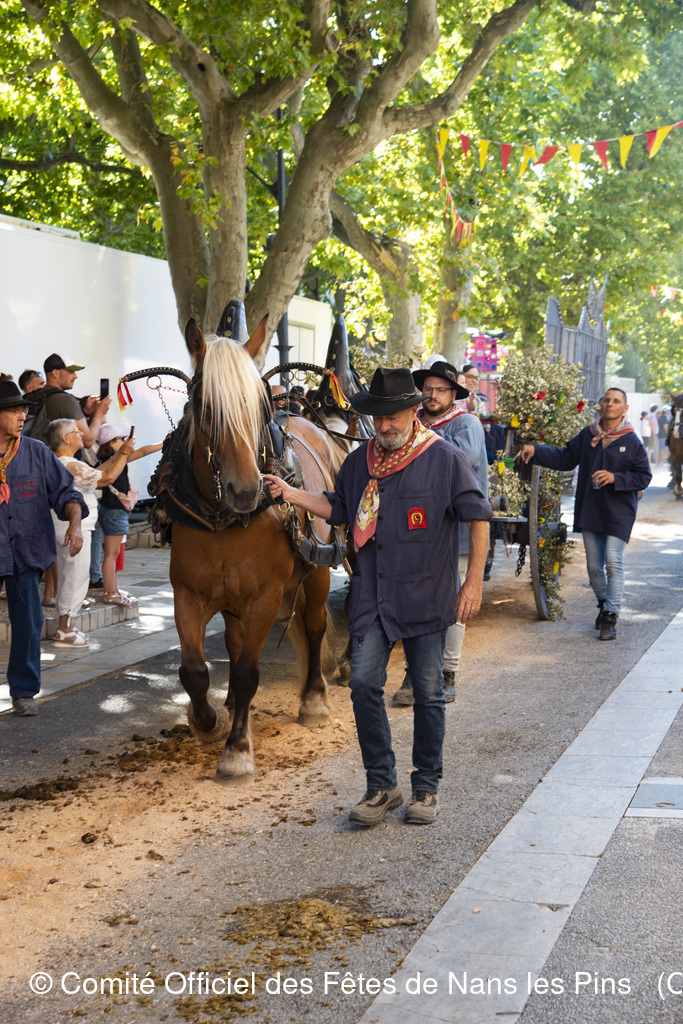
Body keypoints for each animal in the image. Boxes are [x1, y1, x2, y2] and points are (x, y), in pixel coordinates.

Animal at [167, 309, 339, 781]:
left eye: (259, 406)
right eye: (204, 406)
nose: (246, 490)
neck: (223, 519)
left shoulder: (266, 596)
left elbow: (247, 672)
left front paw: (237, 751)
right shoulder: (187, 594)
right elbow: (194, 670)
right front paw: (207, 721)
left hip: (318, 569)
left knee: (314, 625)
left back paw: (313, 699)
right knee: (234, 639)